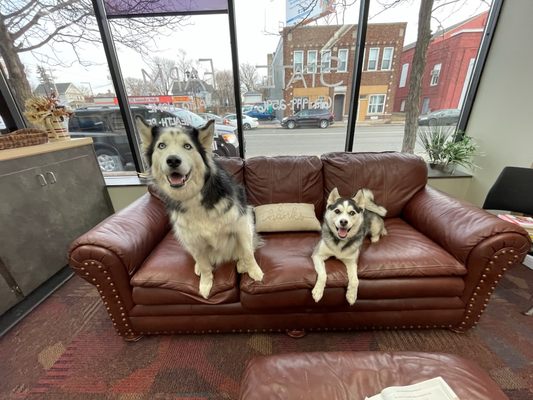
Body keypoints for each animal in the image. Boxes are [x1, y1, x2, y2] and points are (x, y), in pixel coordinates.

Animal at [136, 117, 262, 298]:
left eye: (187, 146)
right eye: (161, 145)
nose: (173, 160)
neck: (194, 196)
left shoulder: (241, 225)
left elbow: (247, 252)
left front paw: (254, 271)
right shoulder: (193, 239)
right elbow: (204, 265)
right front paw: (205, 283)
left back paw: (241, 264)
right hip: (183, 236)